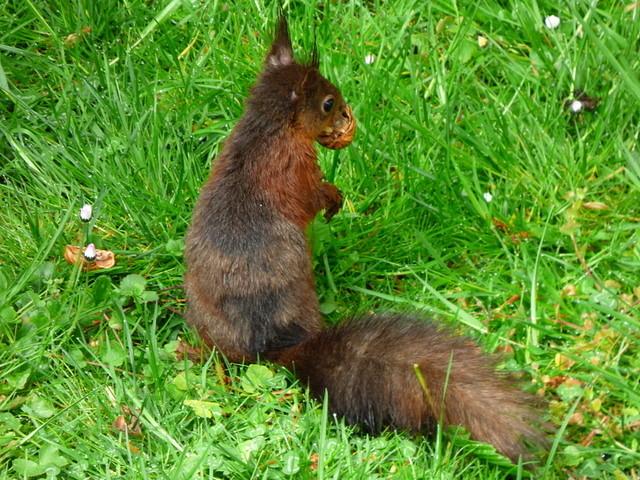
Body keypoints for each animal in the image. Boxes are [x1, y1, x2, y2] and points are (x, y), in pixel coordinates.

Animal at [184, 16, 547, 464]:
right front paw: (334, 199)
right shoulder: (294, 168)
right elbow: (310, 198)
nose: (344, 110)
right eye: (326, 103)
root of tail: (273, 344)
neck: (267, 129)